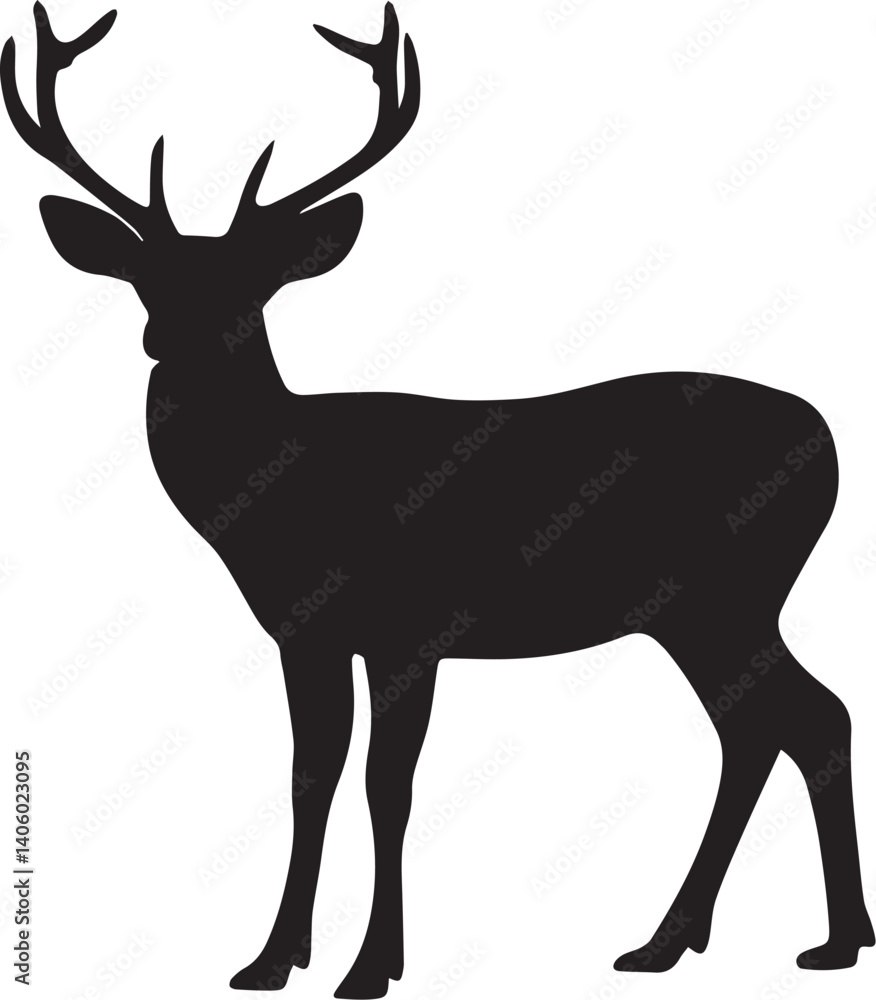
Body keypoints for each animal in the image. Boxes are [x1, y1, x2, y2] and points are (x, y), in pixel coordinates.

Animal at [3, 2, 873, 997]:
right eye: (146, 277)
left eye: (254, 284)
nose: (173, 338)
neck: (284, 494)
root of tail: (829, 441)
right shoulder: (305, 634)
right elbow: (310, 776)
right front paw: (272, 958)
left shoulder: (409, 626)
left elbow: (389, 784)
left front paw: (370, 966)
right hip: (705, 610)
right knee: (777, 725)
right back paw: (712, 940)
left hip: (727, 595)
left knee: (800, 718)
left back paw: (793, 938)